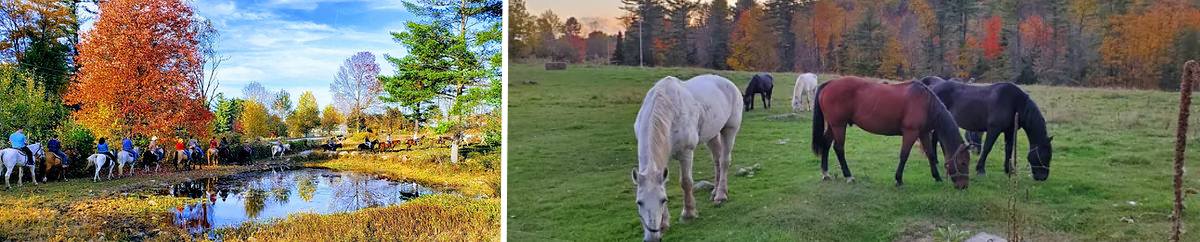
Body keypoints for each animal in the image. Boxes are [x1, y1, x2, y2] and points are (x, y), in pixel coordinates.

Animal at [628, 74, 739, 240]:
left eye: (662, 200)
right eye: (639, 202)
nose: (653, 237)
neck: (668, 107)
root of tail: (728, 83)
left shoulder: (686, 152)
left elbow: (686, 182)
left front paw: (688, 214)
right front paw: (664, 223)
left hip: (729, 130)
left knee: (724, 161)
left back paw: (720, 195)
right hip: (712, 135)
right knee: (717, 160)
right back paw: (715, 191)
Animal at [811, 76, 969, 188]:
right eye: (963, 163)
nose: (964, 186)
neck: (926, 103)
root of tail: (829, 84)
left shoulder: (923, 133)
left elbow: (930, 154)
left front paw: (937, 177)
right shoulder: (910, 133)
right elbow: (904, 155)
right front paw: (898, 179)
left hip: (833, 125)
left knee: (826, 144)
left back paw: (825, 173)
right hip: (839, 126)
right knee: (839, 148)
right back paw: (848, 176)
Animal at [916, 76, 1051, 180]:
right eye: (1044, 155)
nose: (1042, 177)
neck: (1014, 102)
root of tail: (932, 88)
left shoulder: (1009, 131)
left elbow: (1008, 149)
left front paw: (1008, 170)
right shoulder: (994, 129)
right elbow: (987, 148)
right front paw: (980, 170)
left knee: (935, 138)